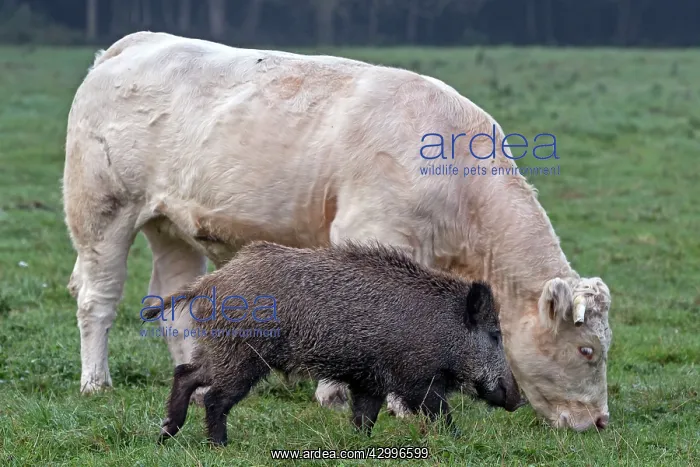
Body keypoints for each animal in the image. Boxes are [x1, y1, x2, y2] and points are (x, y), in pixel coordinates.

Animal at [146, 241, 525, 445]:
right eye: (496, 335)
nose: (518, 400)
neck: (444, 330)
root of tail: (209, 281)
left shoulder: (370, 382)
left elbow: (364, 419)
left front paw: (359, 444)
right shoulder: (419, 381)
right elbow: (442, 415)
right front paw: (459, 441)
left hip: (219, 350)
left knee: (186, 373)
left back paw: (166, 434)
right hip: (243, 357)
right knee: (214, 397)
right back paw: (219, 446)